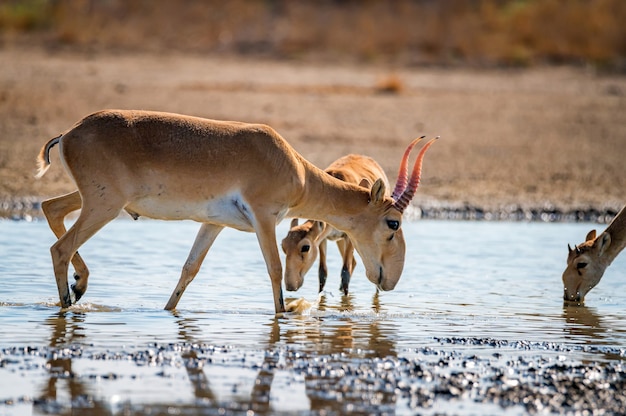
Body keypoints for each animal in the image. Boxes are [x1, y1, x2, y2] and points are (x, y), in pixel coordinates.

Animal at [280, 154, 388, 296]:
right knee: (354, 262)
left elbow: (345, 272)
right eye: (283, 245)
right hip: (339, 240)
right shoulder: (323, 238)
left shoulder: (350, 237)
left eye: (305, 247)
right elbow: (322, 273)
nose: (290, 286)